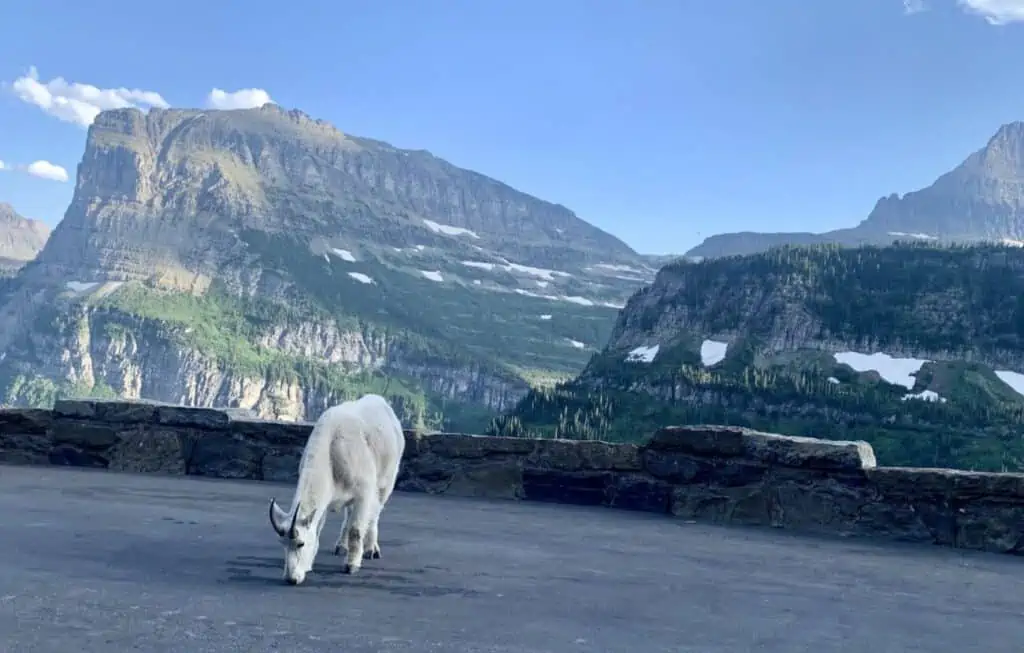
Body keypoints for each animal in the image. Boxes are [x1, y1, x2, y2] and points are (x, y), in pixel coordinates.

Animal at [266, 393, 405, 589]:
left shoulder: (364, 493)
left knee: (376, 511)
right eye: (282, 544)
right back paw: (341, 546)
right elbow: (318, 530)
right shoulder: (324, 499)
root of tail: (382, 402)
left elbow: (356, 529)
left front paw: (351, 565)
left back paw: (371, 549)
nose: (291, 579)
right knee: (349, 514)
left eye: (300, 544)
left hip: (387, 478)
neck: (332, 453)